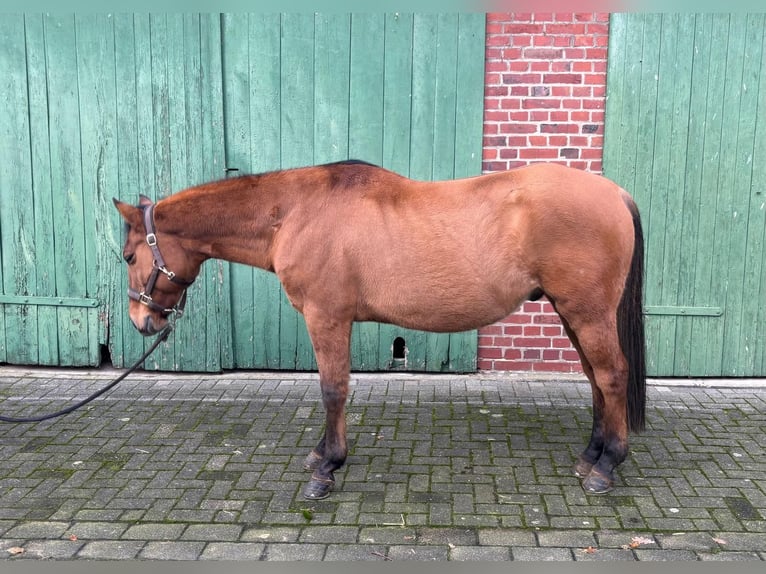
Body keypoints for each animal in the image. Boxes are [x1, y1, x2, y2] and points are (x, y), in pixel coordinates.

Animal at [113, 159, 646, 500]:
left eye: (129, 256)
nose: (142, 322)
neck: (296, 212)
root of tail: (616, 193)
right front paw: (320, 457)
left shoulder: (326, 316)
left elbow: (333, 390)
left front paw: (327, 468)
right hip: (572, 312)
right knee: (595, 380)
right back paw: (590, 456)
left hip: (586, 311)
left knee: (611, 376)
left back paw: (607, 467)